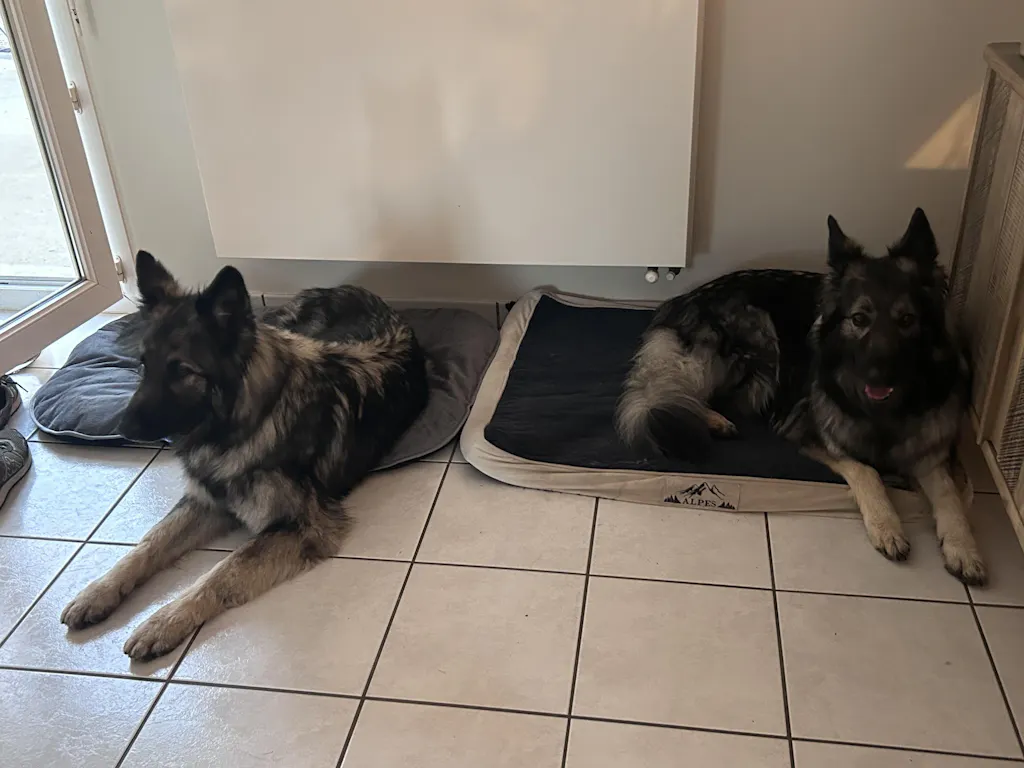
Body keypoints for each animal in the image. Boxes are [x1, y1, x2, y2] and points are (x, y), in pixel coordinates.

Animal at [60, 251, 429, 660]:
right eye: (144, 364)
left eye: (182, 371)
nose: (124, 428)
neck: (245, 424)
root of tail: (350, 287)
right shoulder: (205, 502)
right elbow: (148, 543)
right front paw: (99, 591)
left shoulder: (301, 527)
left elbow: (223, 571)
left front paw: (164, 621)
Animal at [616, 209, 985, 584]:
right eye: (859, 319)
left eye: (907, 319)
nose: (878, 375)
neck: (882, 412)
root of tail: (679, 303)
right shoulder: (810, 431)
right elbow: (867, 470)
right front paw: (887, 526)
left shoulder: (931, 450)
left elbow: (950, 496)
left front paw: (963, 548)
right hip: (757, 332)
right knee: (677, 394)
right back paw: (715, 420)